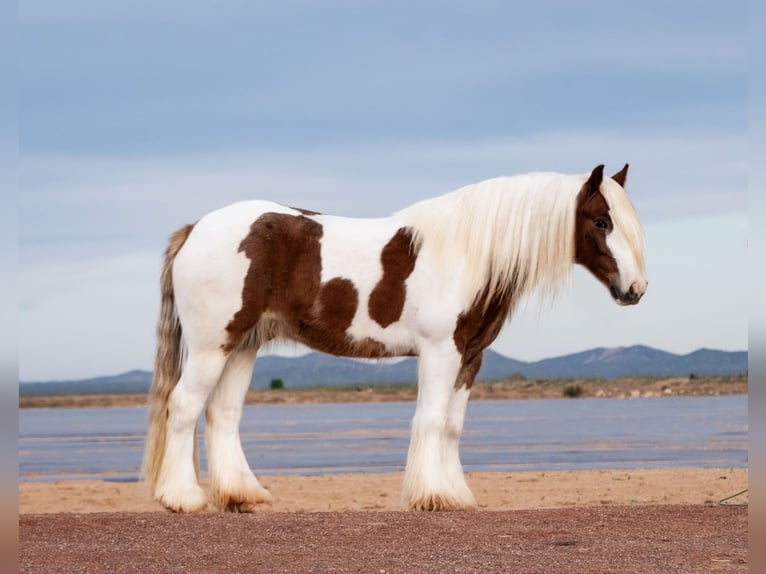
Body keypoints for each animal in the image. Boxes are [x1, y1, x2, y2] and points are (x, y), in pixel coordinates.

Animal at [142, 164, 648, 516]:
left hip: (241, 346)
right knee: (184, 407)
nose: (636, 289)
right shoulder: (439, 352)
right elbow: (430, 419)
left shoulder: (470, 357)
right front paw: (432, 496)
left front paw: (457, 493)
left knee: (222, 415)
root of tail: (194, 229)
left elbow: (452, 426)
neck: (466, 254)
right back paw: (183, 499)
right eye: (602, 222)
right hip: (211, 345)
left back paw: (241, 496)